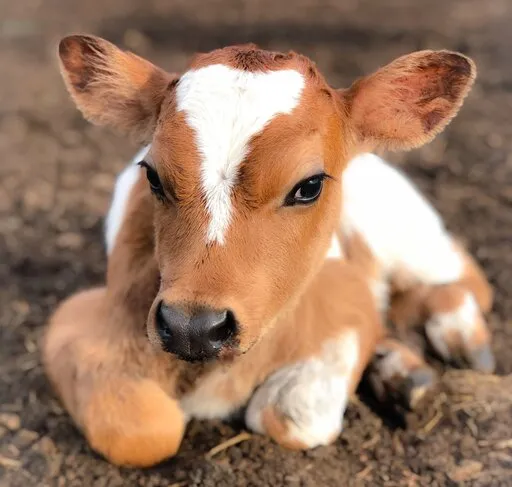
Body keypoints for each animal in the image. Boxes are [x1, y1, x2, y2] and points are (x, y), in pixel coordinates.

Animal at [42, 35, 490, 468]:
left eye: (309, 186)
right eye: (152, 176)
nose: (192, 328)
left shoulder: (349, 297)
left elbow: (288, 415)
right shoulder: (77, 320)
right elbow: (142, 432)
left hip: (411, 234)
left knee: (464, 275)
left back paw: (461, 339)